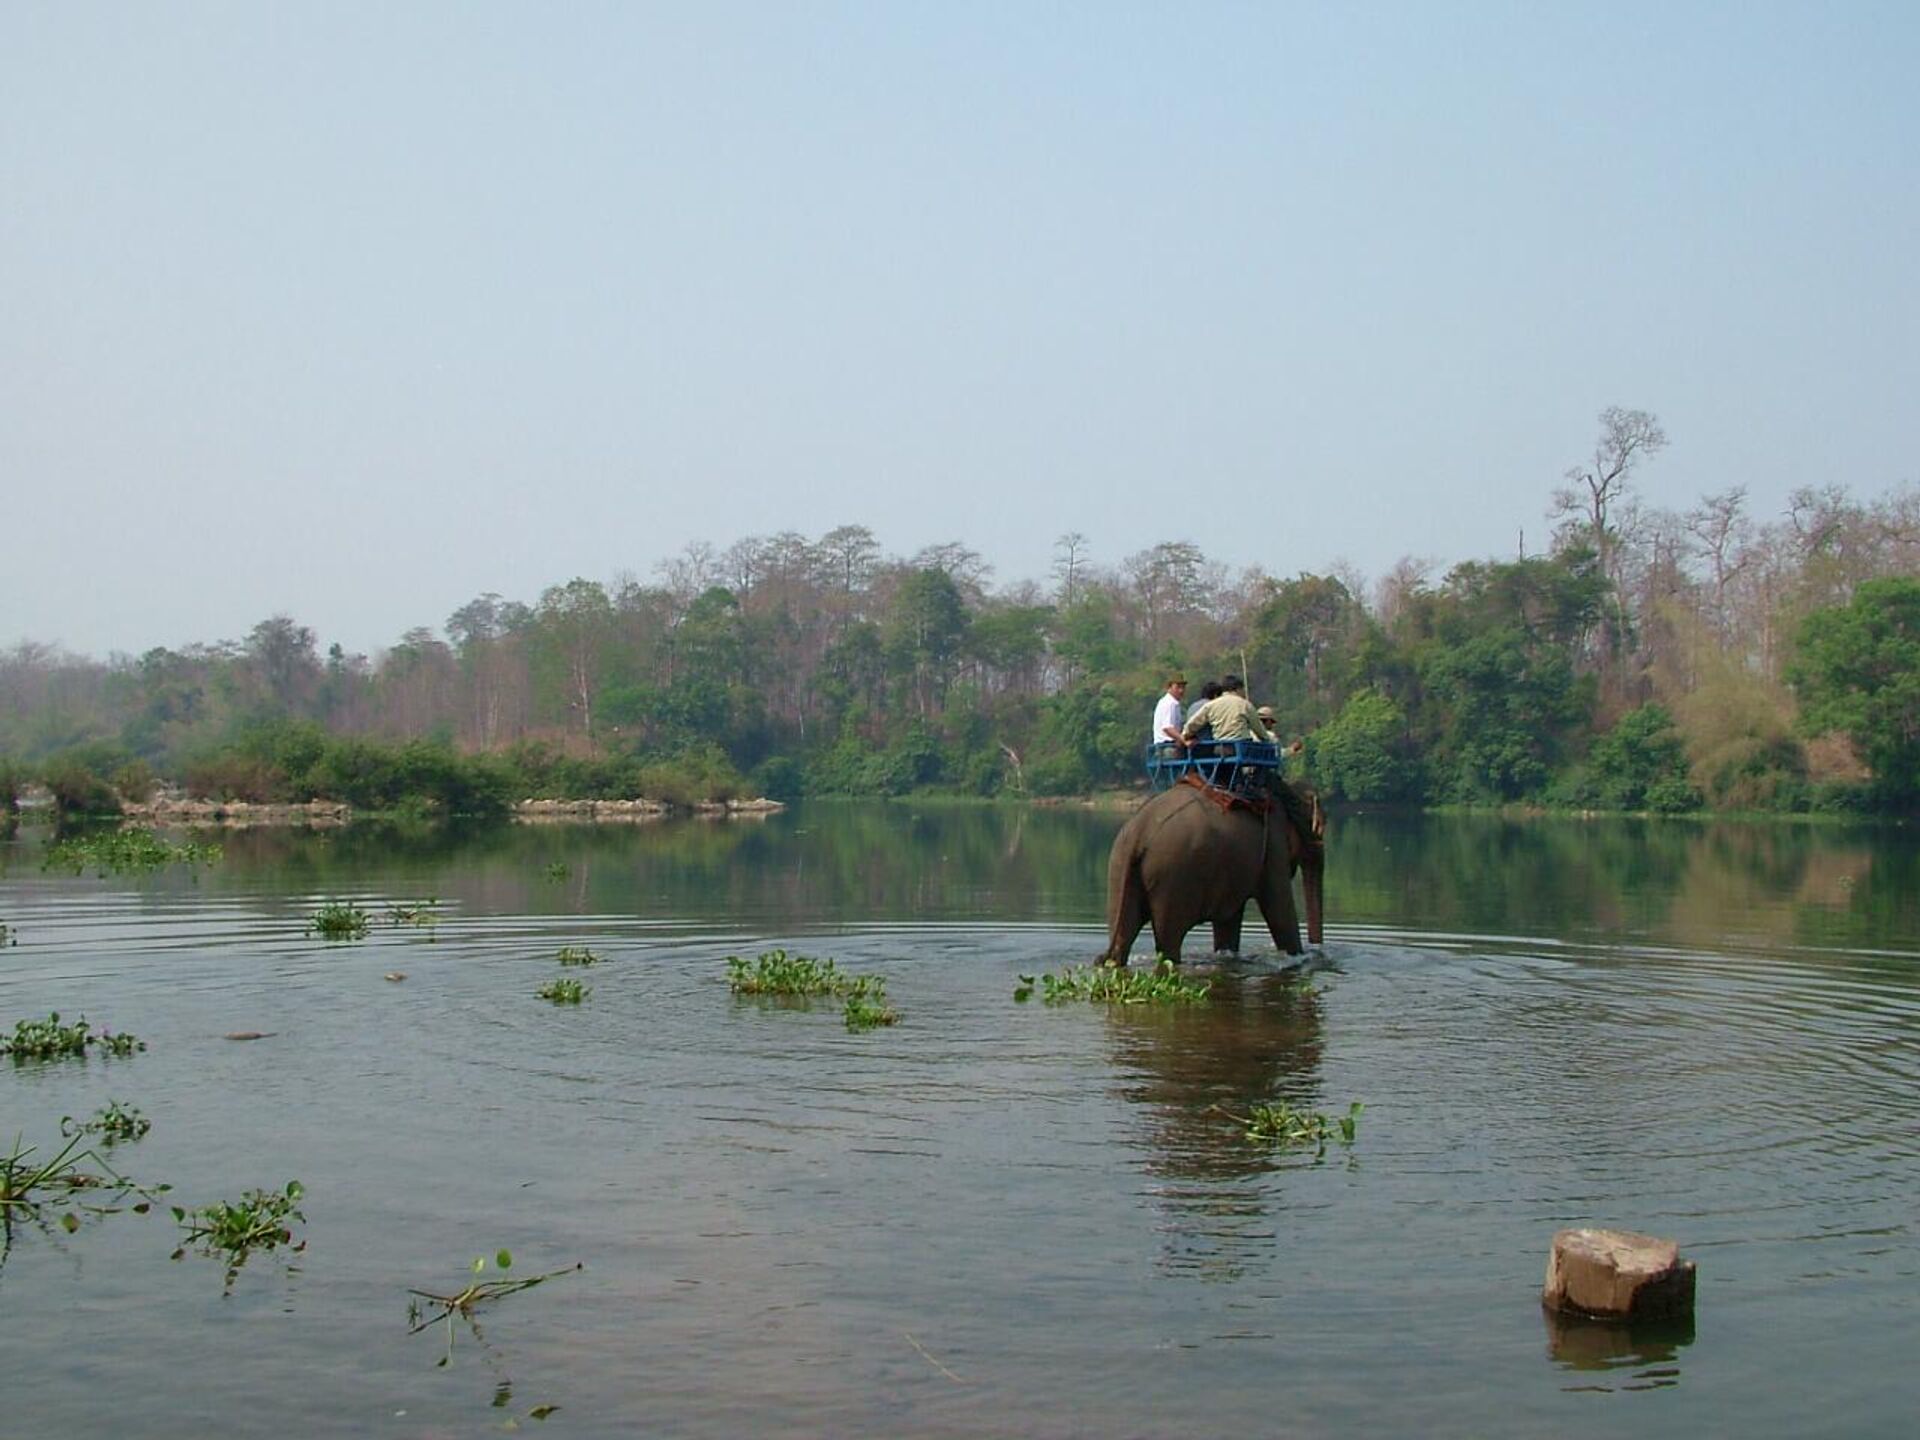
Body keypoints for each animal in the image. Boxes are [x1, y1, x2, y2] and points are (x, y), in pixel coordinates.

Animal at [1105, 779, 1328, 971]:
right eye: (1319, 829)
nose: (1317, 951)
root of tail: (1138, 835)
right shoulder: (1273, 846)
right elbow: (1279, 911)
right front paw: (1298, 957)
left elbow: (1228, 920)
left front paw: (1226, 955)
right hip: (1172, 877)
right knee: (1169, 943)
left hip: (1120, 867)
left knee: (1123, 938)